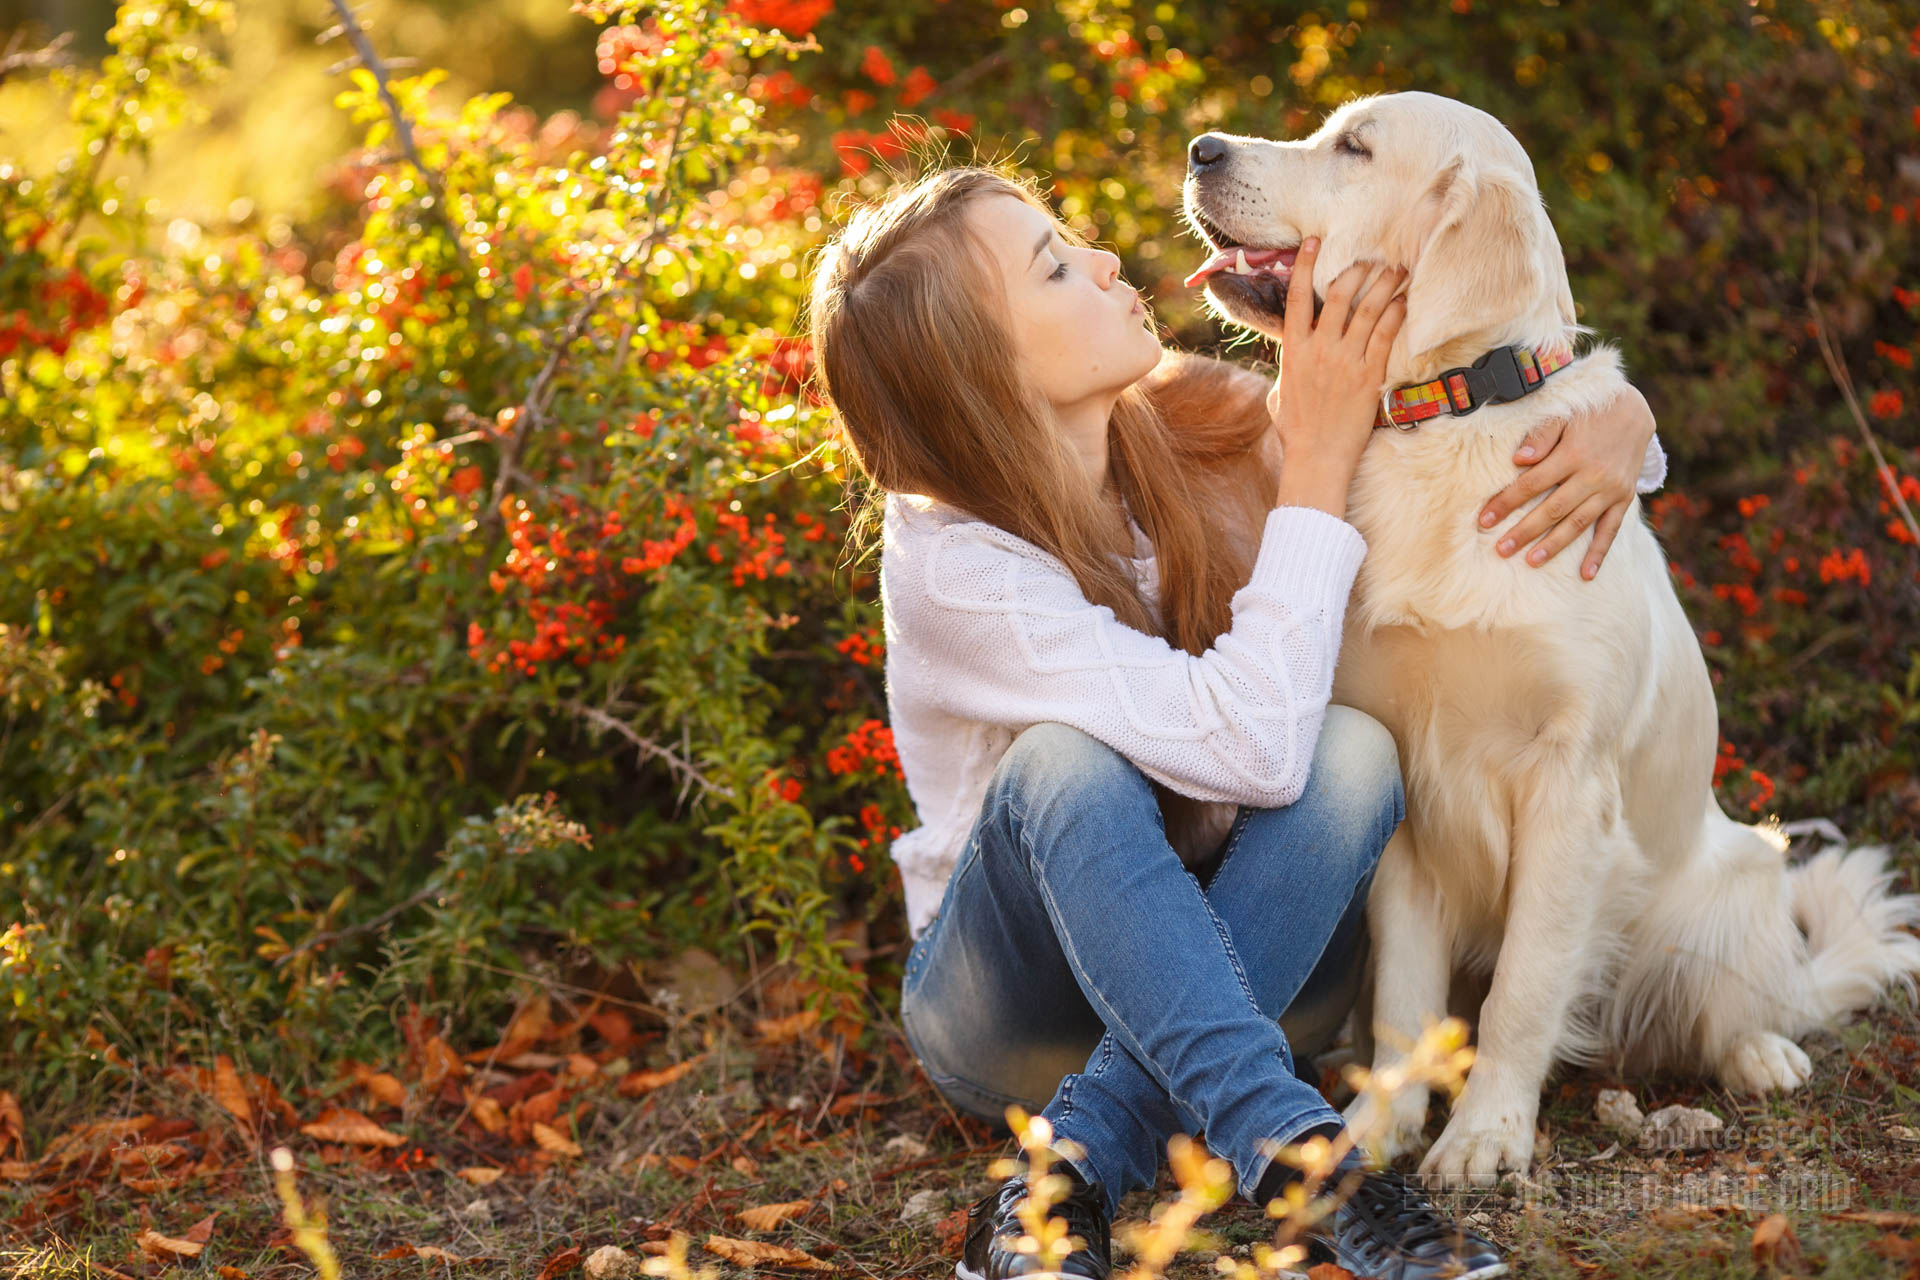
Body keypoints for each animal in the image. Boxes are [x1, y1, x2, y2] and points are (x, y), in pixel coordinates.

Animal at [1175, 90, 1912, 1189]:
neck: (1447, 423)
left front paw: (1486, 1134)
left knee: (1747, 1003)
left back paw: (1762, 1052)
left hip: (1734, 879)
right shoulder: (1410, 787)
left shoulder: (1568, 783)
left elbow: (1524, 988)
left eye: (1355, 148)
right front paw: (1382, 1127)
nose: (1200, 148)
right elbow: (1405, 1003)